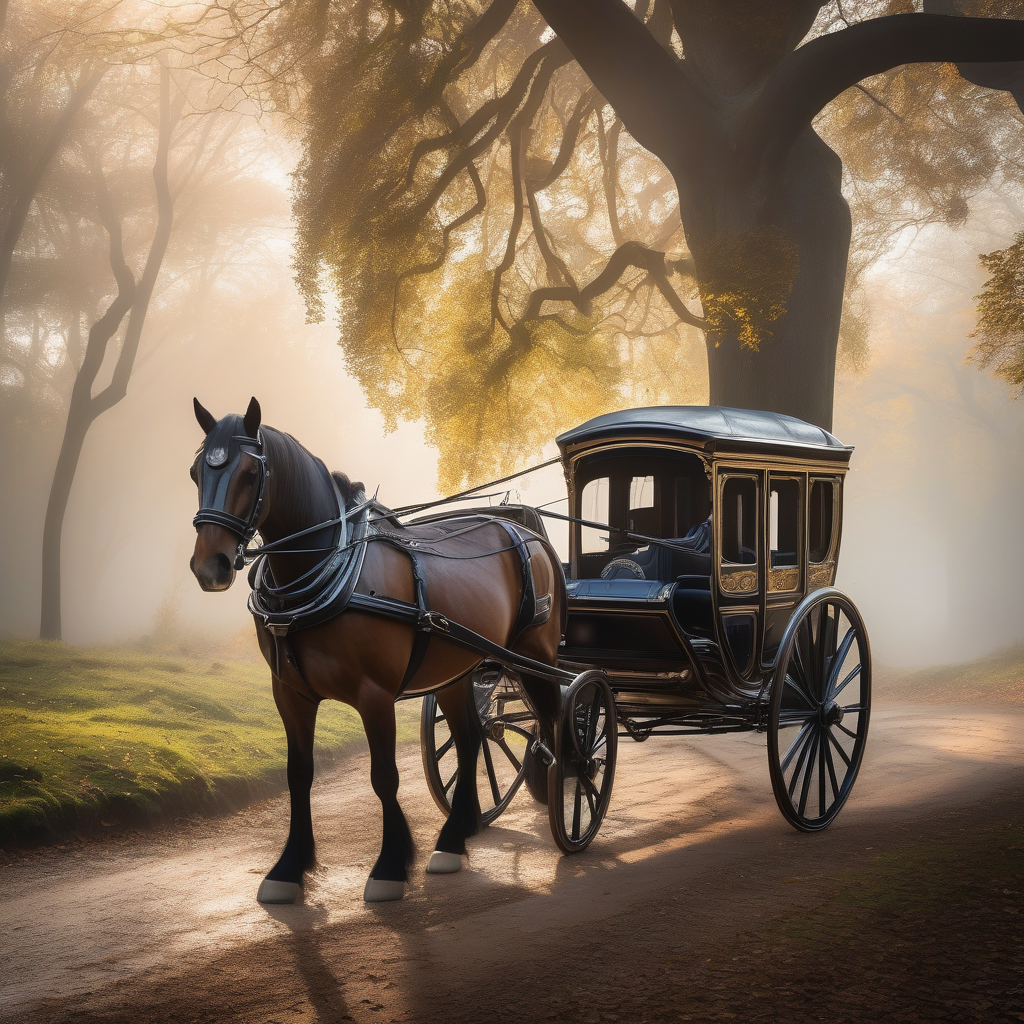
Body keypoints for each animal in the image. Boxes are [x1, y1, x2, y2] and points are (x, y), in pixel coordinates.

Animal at [188, 397, 565, 902]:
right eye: (195, 472)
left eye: (250, 474)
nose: (210, 566)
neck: (331, 567)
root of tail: (522, 530)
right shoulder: (290, 695)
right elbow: (298, 775)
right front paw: (288, 868)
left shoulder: (375, 695)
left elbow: (384, 776)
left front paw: (389, 866)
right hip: (458, 668)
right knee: (471, 739)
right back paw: (455, 837)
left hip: (536, 656)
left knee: (556, 719)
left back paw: (570, 785)